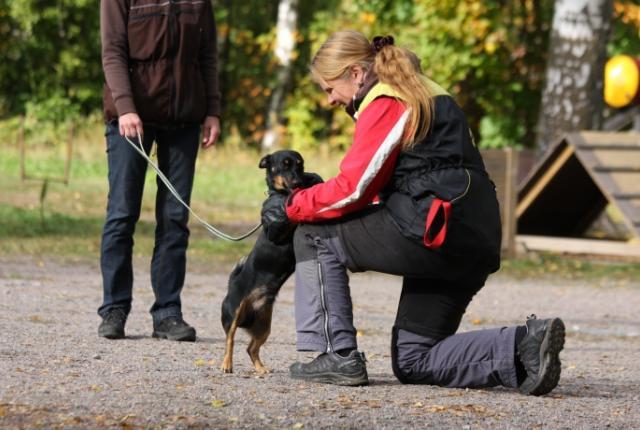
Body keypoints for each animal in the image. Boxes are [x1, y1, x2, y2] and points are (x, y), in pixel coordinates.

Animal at [221, 150, 322, 372]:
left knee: (251, 348)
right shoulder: (277, 230)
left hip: (264, 325)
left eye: (300, 165)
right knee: (230, 339)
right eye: (284, 165)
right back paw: (226, 364)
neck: (281, 193)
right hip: (232, 313)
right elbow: (288, 216)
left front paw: (313, 179)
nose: (297, 181)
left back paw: (261, 369)